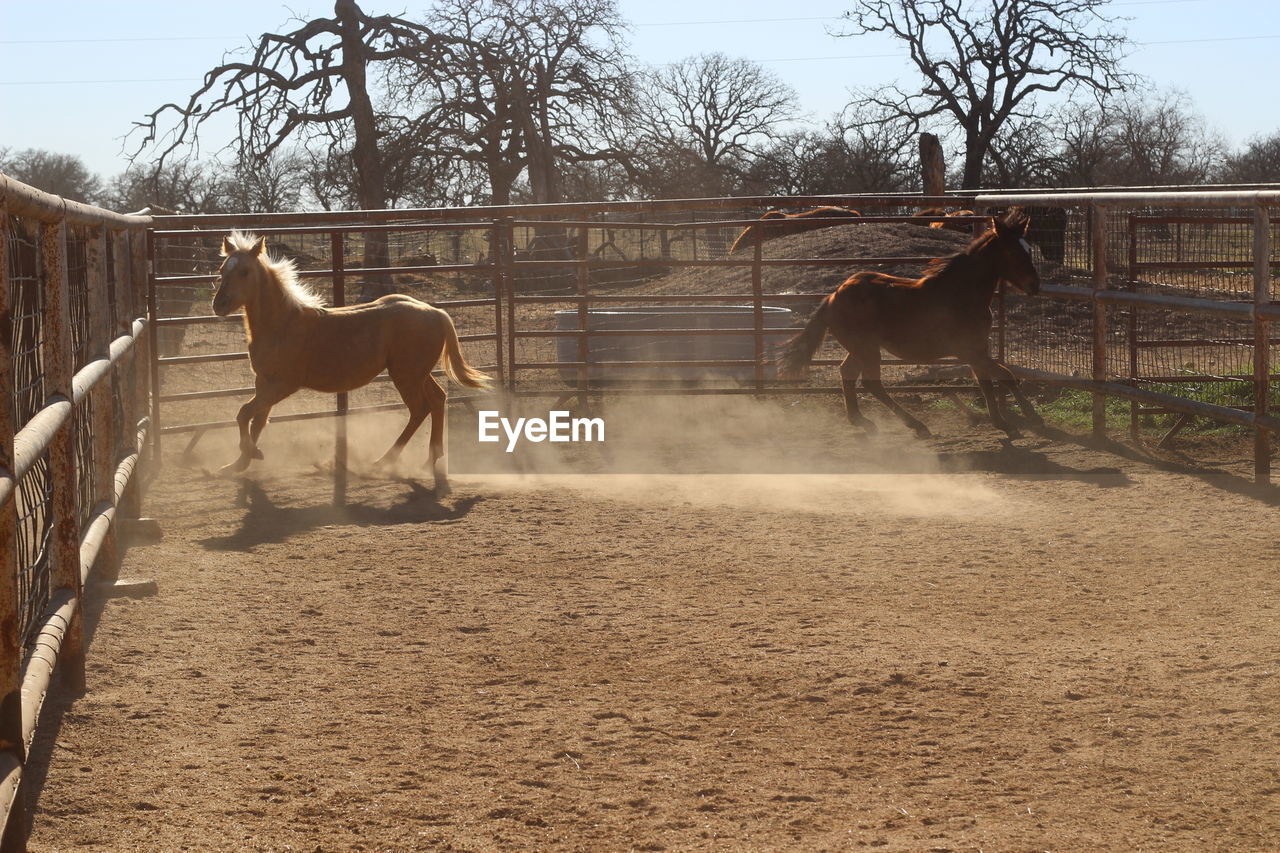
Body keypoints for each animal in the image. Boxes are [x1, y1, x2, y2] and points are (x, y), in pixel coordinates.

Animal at [209, 230, 488, 491]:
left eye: (244, 271)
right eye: (222, 270)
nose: (219, 304)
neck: (282, 324)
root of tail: (437, 313)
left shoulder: (284, 384)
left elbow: (244, 414)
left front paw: (250, 454)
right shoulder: (263, 382)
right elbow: (257, 420)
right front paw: (236, 464)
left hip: (406, 377)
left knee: (420, 409)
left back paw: (384, 462)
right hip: (417, 374)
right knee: (438, 399)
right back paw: (428, 460)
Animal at [778, 208, 1039, 435]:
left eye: (1028, 249)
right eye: (1013, 252)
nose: (1035, 286)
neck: (960, 293)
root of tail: (833, 297)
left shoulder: (978, 349)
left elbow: (993, 380)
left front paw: (1010, 421)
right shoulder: (970, 351)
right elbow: (1003, 376)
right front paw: (1025, 419)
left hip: (861, 349)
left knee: (847, 373)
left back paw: (861, 421)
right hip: (867, 350)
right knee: (871, 384)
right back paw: (916, 425)